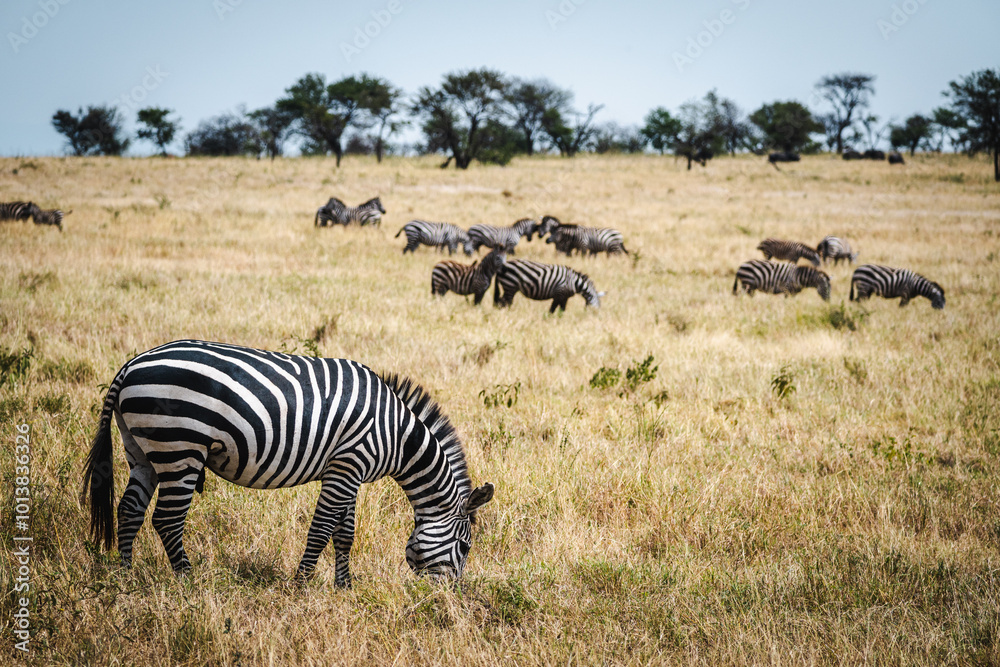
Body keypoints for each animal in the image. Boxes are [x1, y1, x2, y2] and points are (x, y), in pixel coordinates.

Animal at [81, 339, 494, 586]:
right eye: (465, 547)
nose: (447, 598)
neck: (396, 435)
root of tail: (131, 364)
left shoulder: (350, 471)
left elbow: (344, 533)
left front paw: (344, 588)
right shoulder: (347, 464)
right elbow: (322, 529)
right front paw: (302, 584)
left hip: (143, 450)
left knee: (129, 510)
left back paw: (126, 577)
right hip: (180, 446)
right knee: (166, 519)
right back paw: (188, 580)